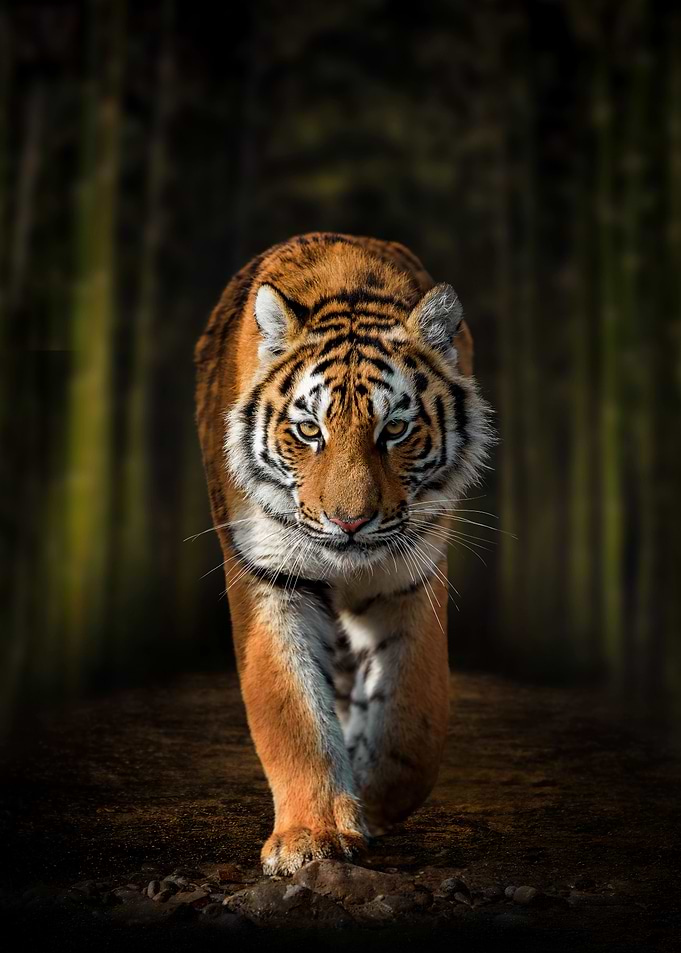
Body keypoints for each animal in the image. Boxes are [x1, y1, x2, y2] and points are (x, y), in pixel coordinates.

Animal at [194, 232, 494, 876]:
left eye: (395, 429)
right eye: (309, 431)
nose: (349, 522)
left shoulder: (413, 572)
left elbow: (414, 717)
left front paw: (374, 802)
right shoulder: (269, 576)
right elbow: (292, 712)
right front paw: (314, 837)